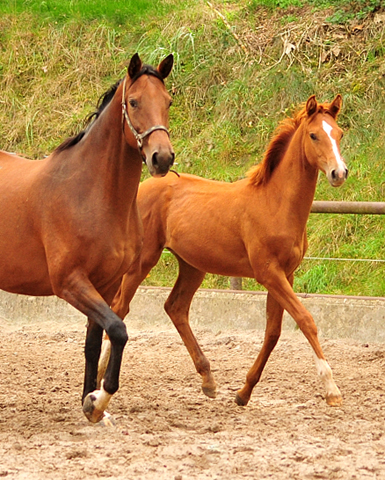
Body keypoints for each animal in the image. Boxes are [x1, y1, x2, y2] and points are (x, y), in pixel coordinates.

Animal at [0, 52, 174, 422]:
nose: (162, 158)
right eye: (134, 102)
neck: (92, 194)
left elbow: (94, 342)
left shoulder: (105, 284)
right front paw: (100, 398)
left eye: (168, 102)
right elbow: (119, 331)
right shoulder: (70, 282)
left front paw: (89, 402)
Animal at [103, 94, 346, 408]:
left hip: (193, 265)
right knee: (120, 307)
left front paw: (244, 392)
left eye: (339, 133)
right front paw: (331, 389)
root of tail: (143, 188)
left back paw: (208, 379)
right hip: (143, 261)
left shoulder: (286, 274)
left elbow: (273, 332)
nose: (339, 173)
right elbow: (306, 320)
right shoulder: (269, 273)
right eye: (314, 135)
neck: (275, 203)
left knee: (175, 307)